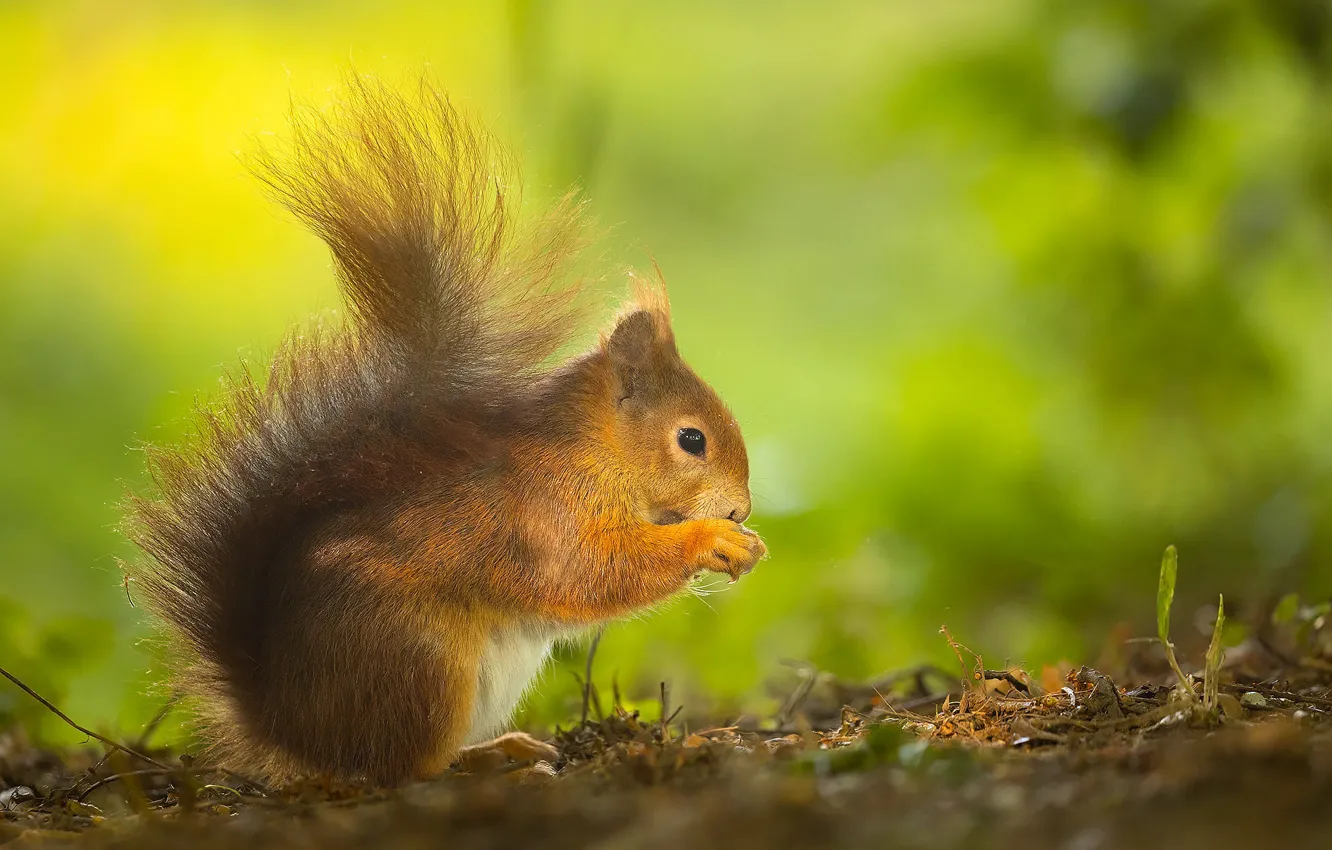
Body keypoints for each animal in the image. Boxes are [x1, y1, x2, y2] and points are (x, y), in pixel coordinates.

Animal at [120, 75, 766, 787]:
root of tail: (290, 731)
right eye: (692, 440)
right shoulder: (548, 512)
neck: (598, 453)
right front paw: (713, 541)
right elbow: (594, 571)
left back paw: (502, 749)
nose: (741, 508)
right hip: (420, 663)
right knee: (403, 770)